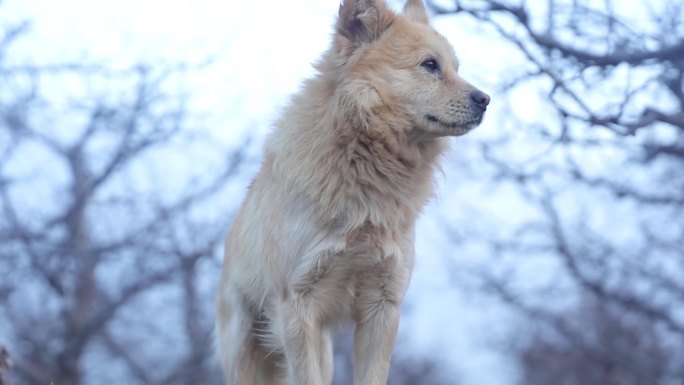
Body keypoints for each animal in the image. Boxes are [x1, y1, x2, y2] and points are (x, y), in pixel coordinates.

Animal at [216, 0, 488, 384]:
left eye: (455, 68)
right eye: (430, 65)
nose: (485, 99)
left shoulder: (383, 306)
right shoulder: (297, 306)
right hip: (245, 350)